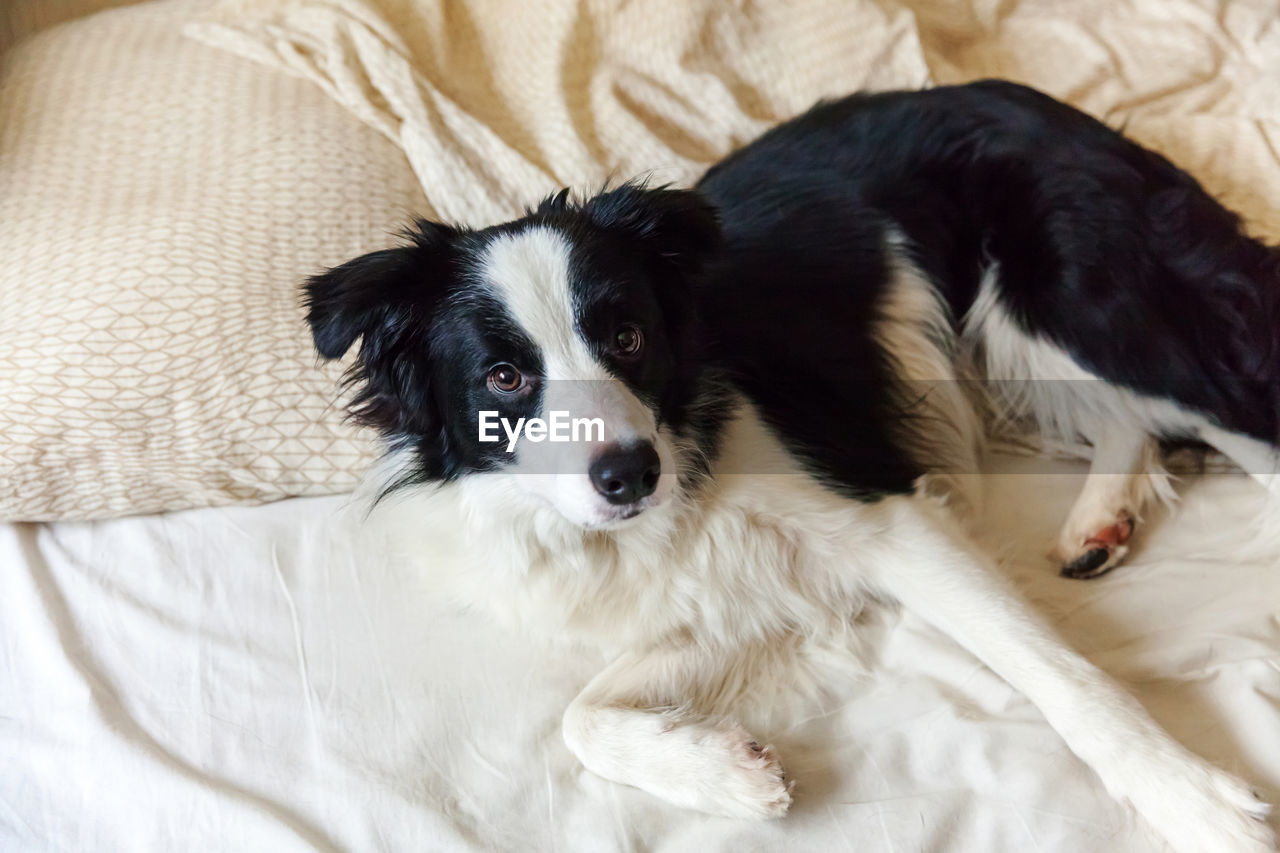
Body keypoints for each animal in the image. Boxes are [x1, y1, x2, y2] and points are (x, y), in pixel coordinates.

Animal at [302, 78, 1280, 845]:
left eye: (627, 336)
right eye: (504, 376)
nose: (631, 475)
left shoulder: (882, 509)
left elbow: (1057, 672)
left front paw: (1194, 801)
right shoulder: (709, 584)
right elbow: (581, 715)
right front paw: (729, 775)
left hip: (1074, 303)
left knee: (1230, 410)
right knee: (1132, 419)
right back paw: (1096, 521)